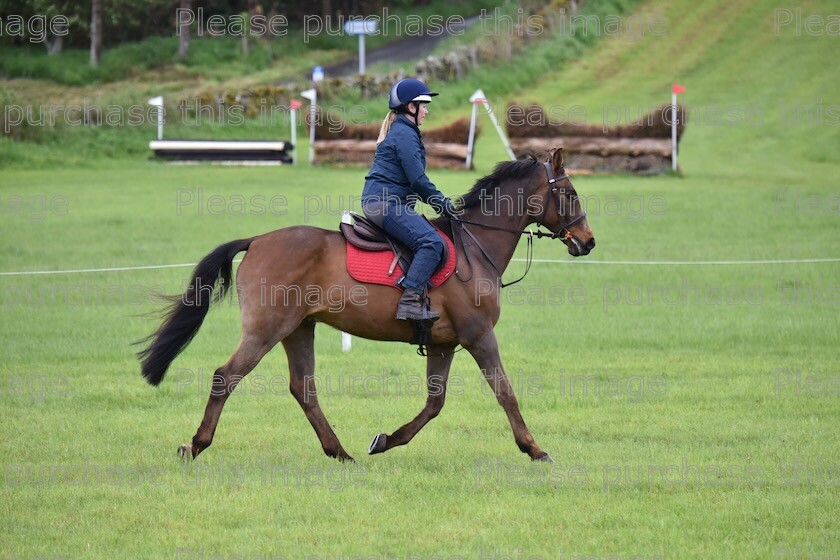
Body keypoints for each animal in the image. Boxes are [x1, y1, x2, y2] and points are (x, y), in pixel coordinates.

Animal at [138, 149, 592, 464]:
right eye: (569, 193)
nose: (587, 242)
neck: (474, 247)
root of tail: (257, 240)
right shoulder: (480, 336)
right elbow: (505, 393)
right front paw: (535, 449)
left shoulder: (444, 343)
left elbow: (434, 404)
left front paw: (385, 441)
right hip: (266, 329)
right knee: (225, 377)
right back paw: (196, 445)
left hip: (298, 329)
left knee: (303, 388)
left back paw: (339, 452)